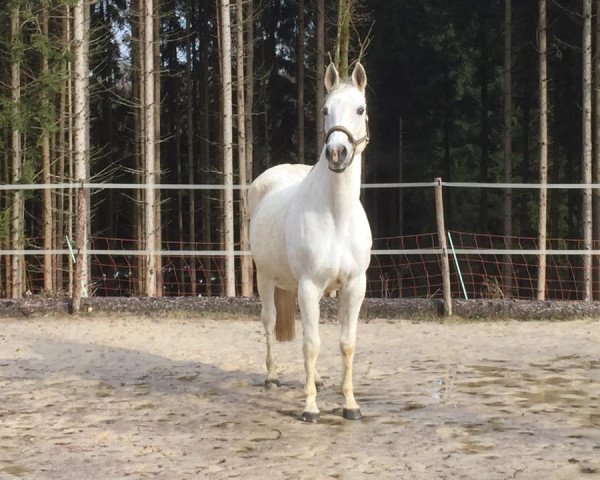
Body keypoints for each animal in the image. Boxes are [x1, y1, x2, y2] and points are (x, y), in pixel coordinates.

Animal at [247, 62, 370, 422]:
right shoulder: (309, 285)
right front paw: (311, 408)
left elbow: (346, 343)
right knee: (270, 321)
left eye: (360, 109)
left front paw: (350, 405)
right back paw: (272, 377)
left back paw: (314, 379)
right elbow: (311, 345)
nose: (337, 153)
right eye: (325, 109)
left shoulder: (355, 286)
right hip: (265, 277)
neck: (337, 216)